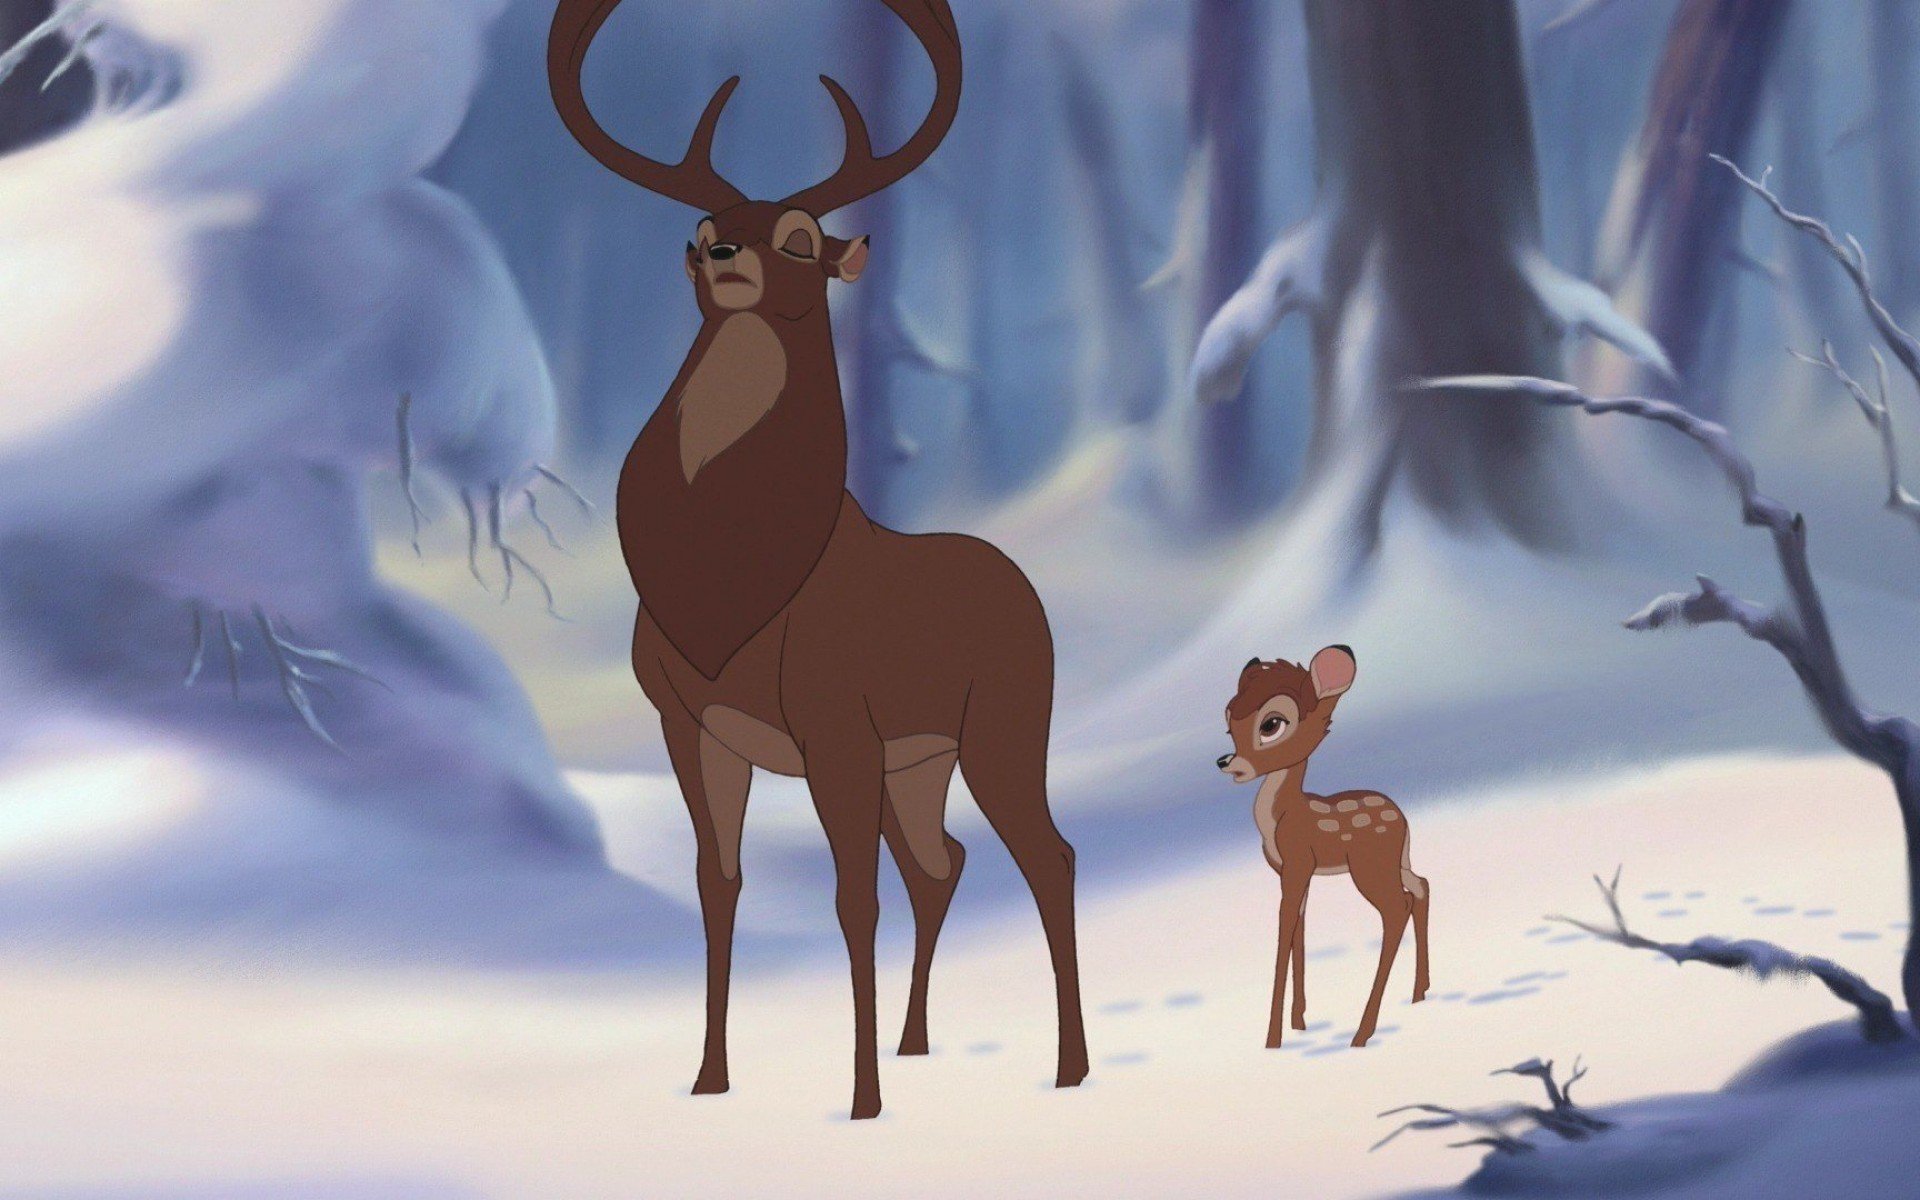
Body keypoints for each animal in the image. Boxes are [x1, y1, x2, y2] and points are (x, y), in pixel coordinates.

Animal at [547, 0, 1086, 1121]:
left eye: (799, 238)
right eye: (701, 232)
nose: (724, 256)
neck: (734, 585)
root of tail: (1024, 587)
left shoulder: (837, 720)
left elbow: (851, 898)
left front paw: (862, 1100)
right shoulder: (692, 721)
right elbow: (719, 883)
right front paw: (709, 1076)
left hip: (1004, 723)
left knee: (1043, 855)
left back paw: (1067, 1066)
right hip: (920, 757)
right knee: (942, 860)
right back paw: (921, 1042)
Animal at [1217, 646, 1430, 1049]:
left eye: (1271, 724)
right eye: (1229, 722)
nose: (1225, 762)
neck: (1281, 817)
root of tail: (1403, 817)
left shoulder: (1298, 860)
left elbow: (1284, 926)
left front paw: (1273, 1039)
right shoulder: (1294, 872)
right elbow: (1299, 926)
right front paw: (1299, 1022)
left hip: (1369, 866)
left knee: (1397, 908)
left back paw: (1362, 1032)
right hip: (1398, 860)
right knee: (1421, 885)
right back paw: (1419, 992)